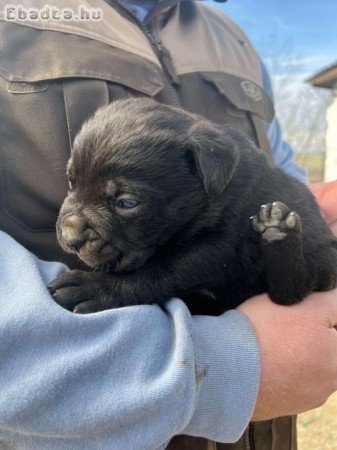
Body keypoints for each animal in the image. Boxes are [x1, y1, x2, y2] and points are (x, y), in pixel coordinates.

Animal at [48, 98, 336, 312]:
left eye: (126, 203)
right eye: (71, 180)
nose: (69, 238)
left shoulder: (223, 242)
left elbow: (163, 267)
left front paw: (95, 287)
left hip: (321, 256)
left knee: (292, 289)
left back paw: (279, 235)